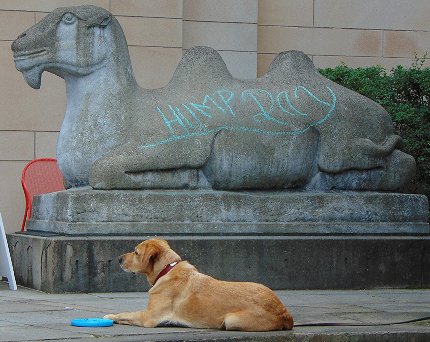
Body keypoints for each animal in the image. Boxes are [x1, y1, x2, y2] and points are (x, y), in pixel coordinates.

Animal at [103, 238, 292, 332]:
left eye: (136, 252)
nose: (118, 259)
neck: (167, 269)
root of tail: (285, 313)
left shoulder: (147, 317)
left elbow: (126, 314)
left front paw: (111, 316)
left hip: (231, 320)